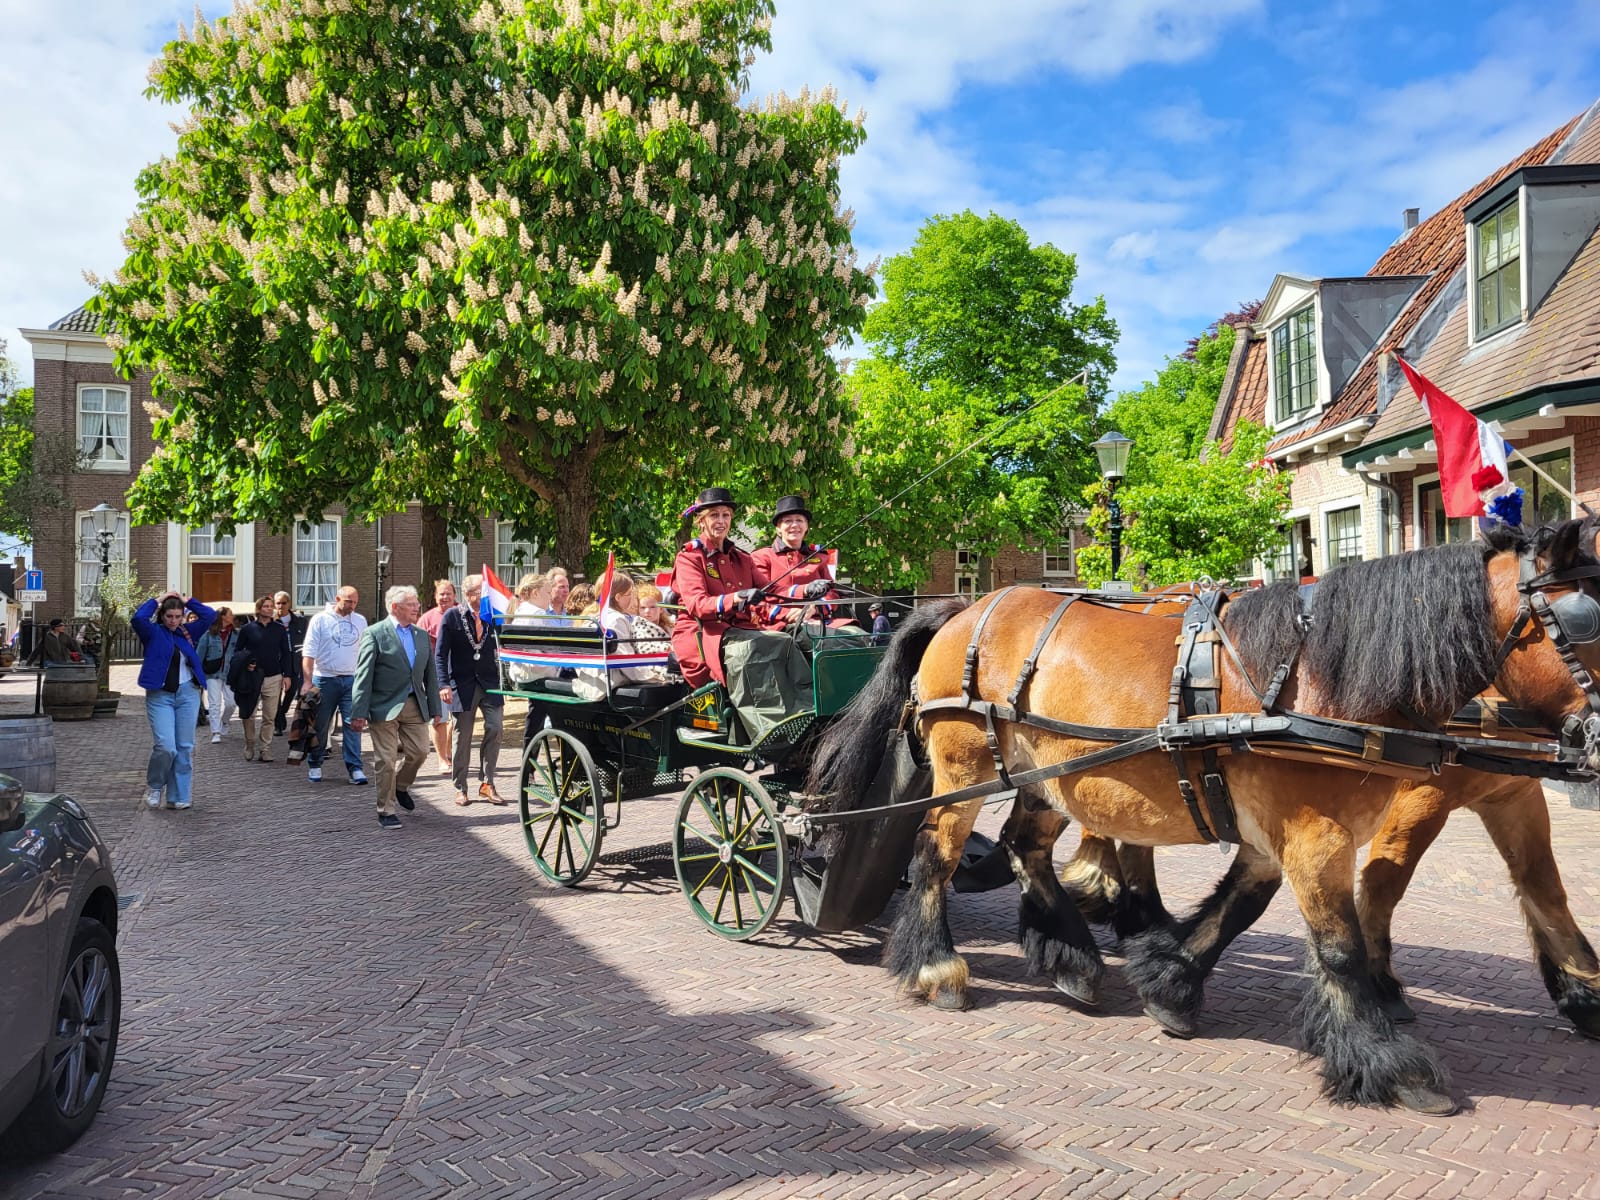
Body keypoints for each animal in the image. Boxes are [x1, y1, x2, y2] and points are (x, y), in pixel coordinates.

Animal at [810, 518, 1600, 1113]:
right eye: (1588, 620)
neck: (1326, 683)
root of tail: (967, 608)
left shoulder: (1284, 830)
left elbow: (1240, 907)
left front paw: (1170, 983)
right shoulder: (1318, 832)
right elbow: (1340, 943)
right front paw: (1391, 1062)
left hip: (1047, 777)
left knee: (1022, 845)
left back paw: (1071, 958)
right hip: (964, 768)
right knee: (936, 855)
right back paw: (937, 966)